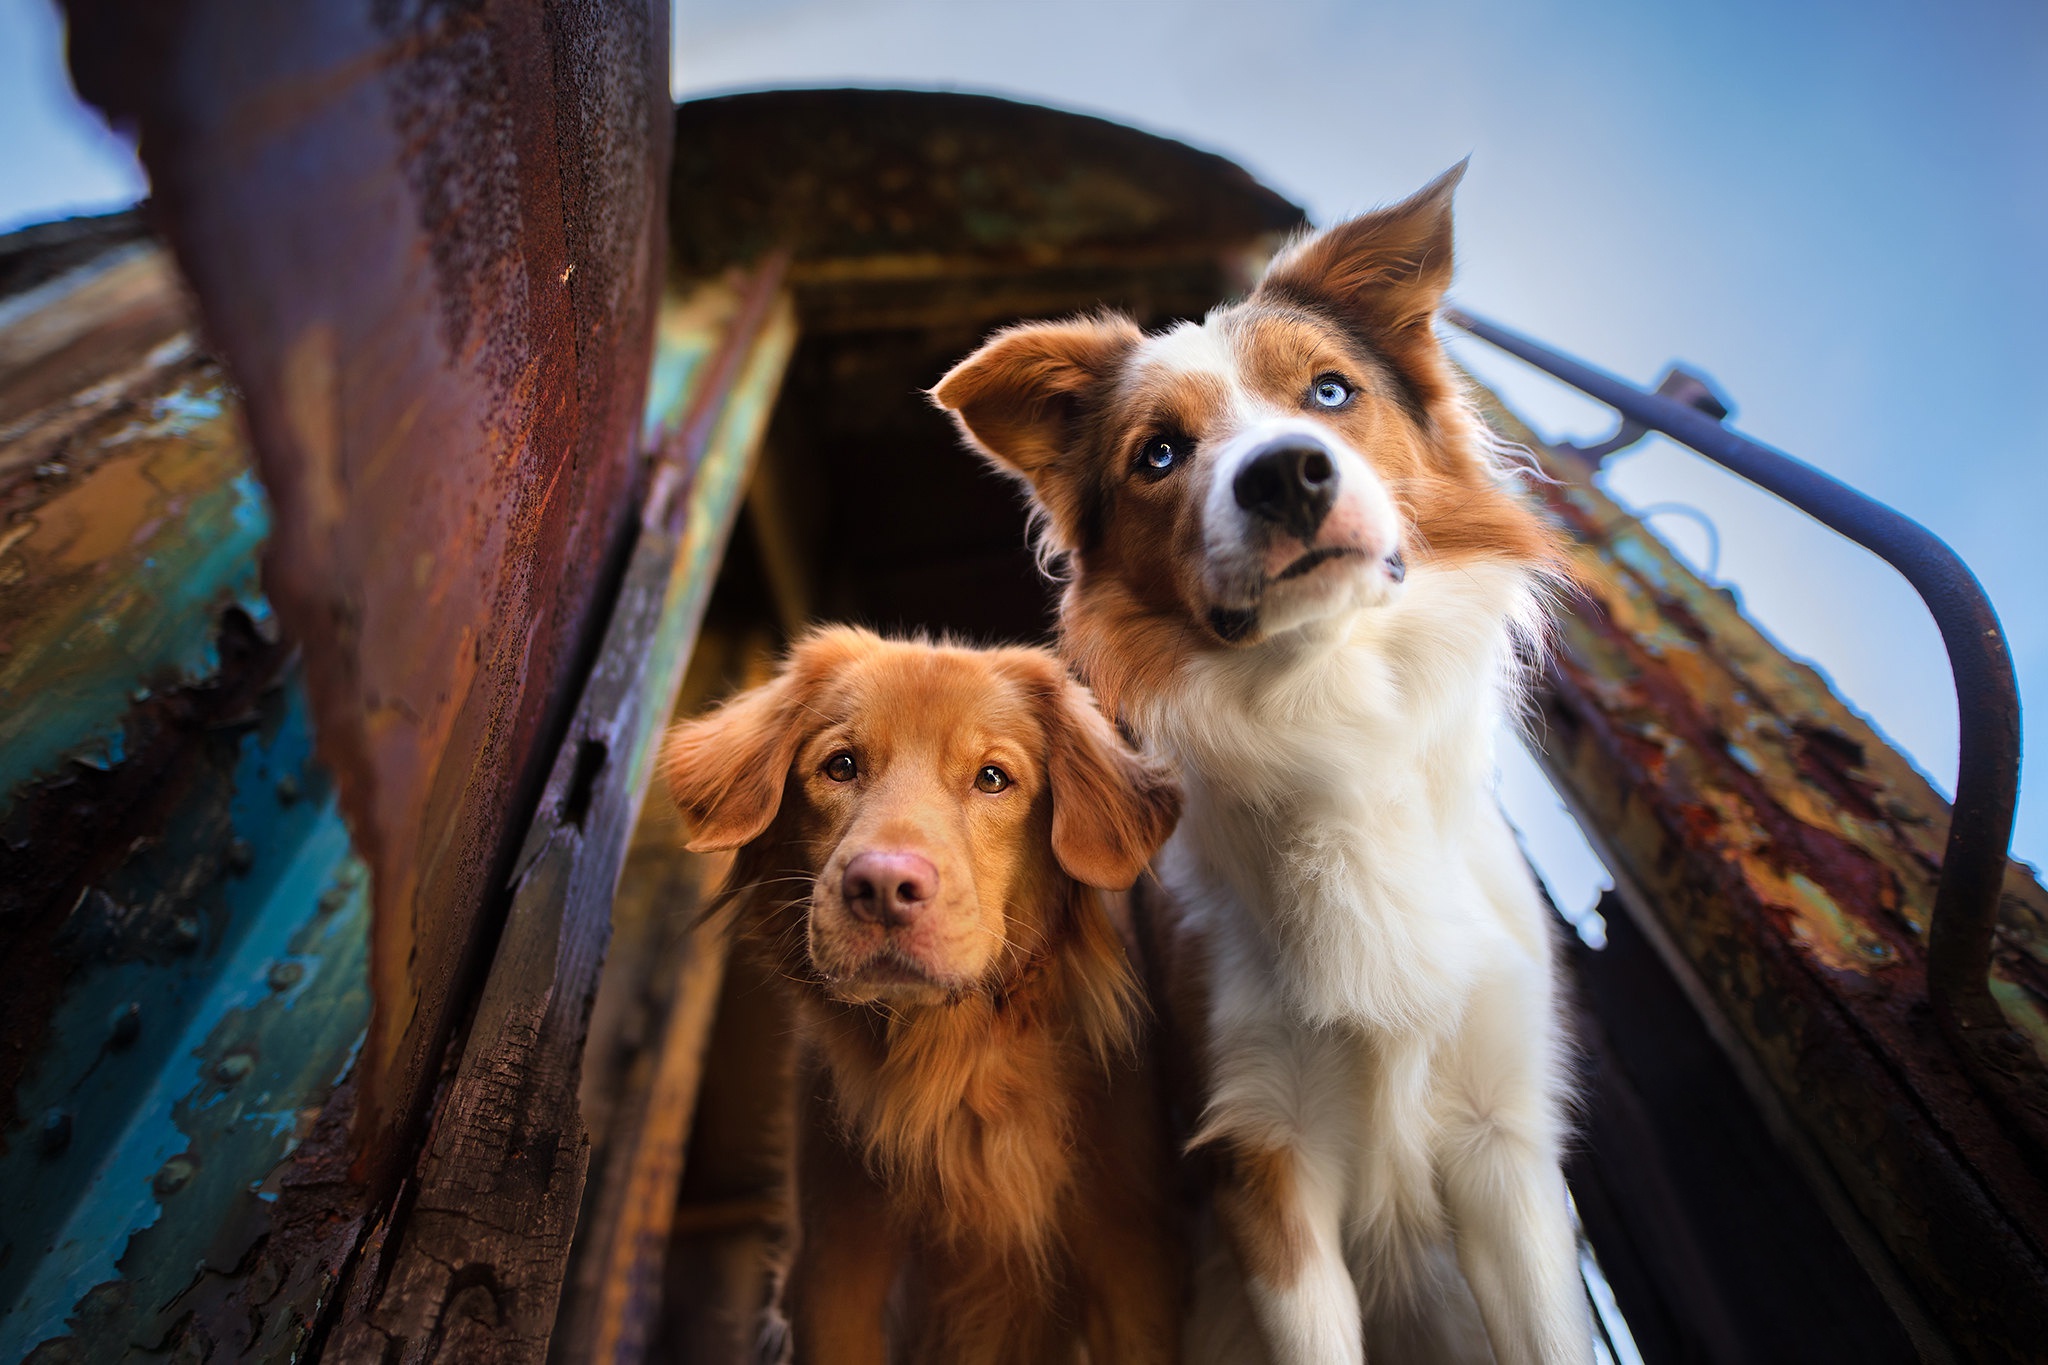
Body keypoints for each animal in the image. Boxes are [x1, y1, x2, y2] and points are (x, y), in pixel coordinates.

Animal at [663, 630, 1187, 1365]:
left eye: (993, 777)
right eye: (841, 766)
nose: (883, 887)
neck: (955, 1071)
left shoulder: (1129, 1261)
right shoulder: (836, 1272)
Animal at [937, 165, 1589, 1358]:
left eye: (1330, 392)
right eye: (1158, 454)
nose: (1285, 474)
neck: (1332, 705)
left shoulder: (1504, 1144)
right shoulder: (1262, 1157)